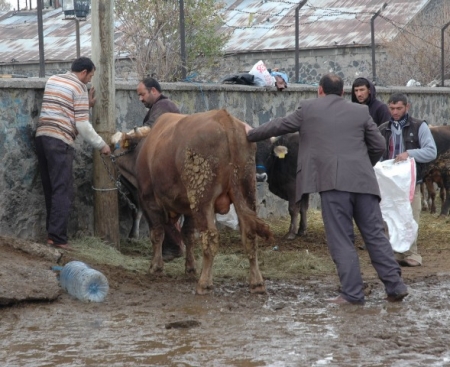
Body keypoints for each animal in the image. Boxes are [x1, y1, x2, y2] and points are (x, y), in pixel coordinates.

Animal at [110, 110, 272, 296]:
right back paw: (256, 282)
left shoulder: (149, 201)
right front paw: (190, 268)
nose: (107, 153)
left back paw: (204, 283)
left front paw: (155, 267)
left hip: (202, 198)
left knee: (210, 237)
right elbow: (188, 236)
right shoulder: (188, 209)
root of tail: (225, 119)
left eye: (116, 144)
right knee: (250, 234)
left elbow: (157, 234)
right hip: (245, 193)